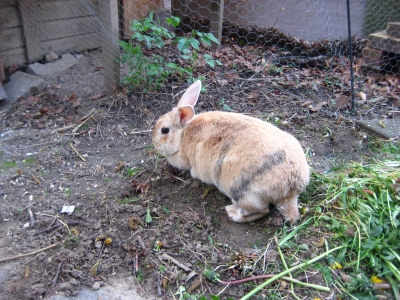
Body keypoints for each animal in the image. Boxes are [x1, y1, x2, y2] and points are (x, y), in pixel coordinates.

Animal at [152, 79, 310, 223]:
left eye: (164, 130)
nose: (154, 143)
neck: (183, 134)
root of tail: (291, 187)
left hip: (241, 191)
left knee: (261, 211)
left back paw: (232, 212)